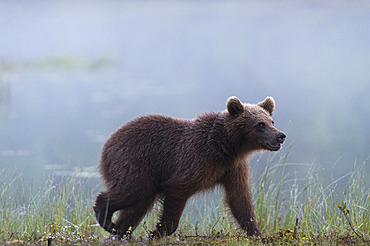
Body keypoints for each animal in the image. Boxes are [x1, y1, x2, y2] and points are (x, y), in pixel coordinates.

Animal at [94, 96, 284, 238]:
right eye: (260, 124)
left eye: (272, 121)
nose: (280, 135)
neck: (226, 147)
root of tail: (108, 142)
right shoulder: (195, 160)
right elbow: (177, 190)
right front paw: (158, 231)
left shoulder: (233, 168)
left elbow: (240, 199)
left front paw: (257, 233)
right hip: (135, 162)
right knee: (133, 191)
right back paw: (106, 219)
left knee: (138, 203)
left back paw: (120, 230)